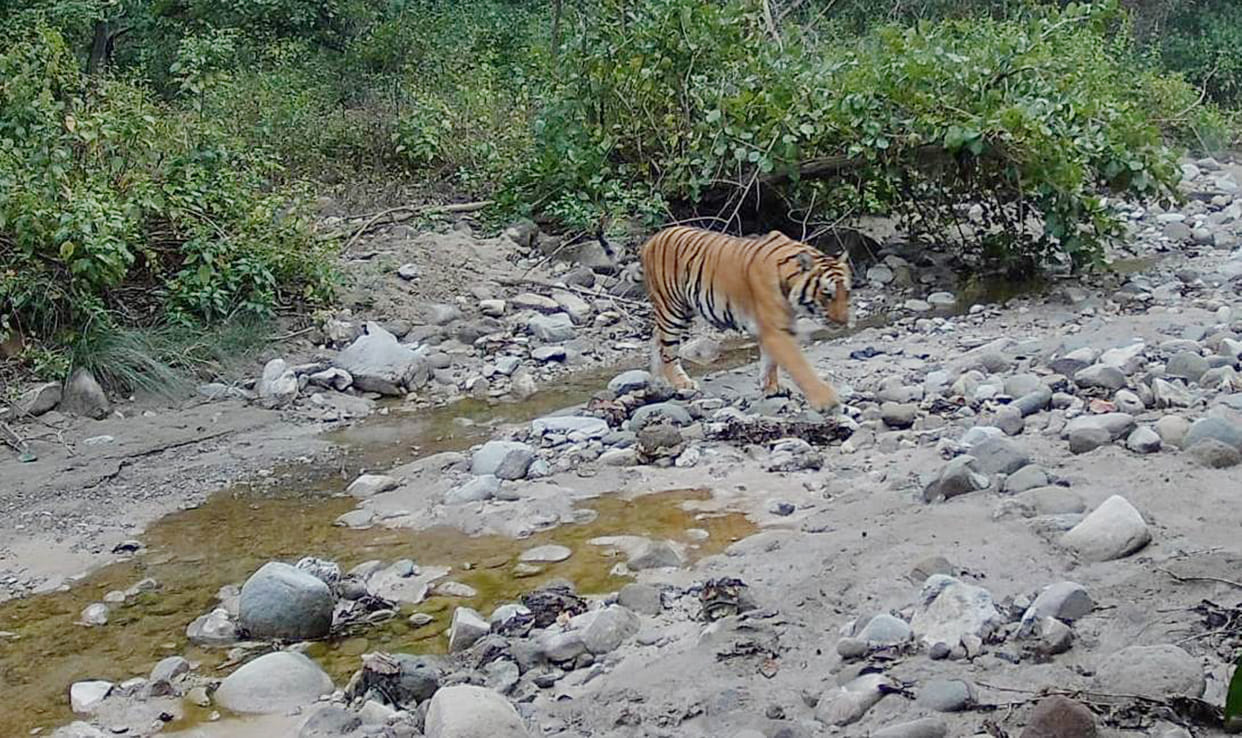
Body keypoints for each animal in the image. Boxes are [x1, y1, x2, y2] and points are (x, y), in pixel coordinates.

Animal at [639, 225, 852, 411]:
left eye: (847, 292)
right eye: (827, 294)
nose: (844, 322)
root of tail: (653, 239)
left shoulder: (777, 326)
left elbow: (770, 361)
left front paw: (771, 387)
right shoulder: (775, 330)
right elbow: (799, 365)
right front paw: (826, 400)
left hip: (685, 309)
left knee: (657, 338)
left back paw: (658, 381)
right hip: (672, 309)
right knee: (668, 350)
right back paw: (681, 382)